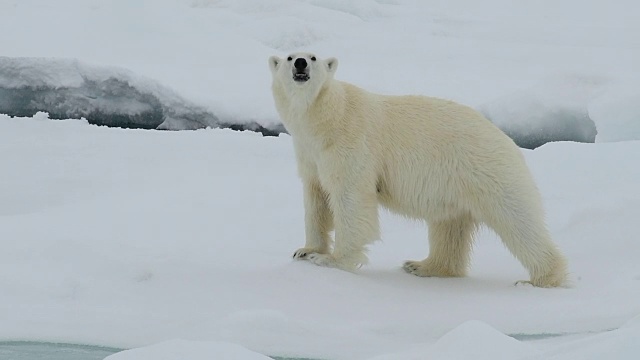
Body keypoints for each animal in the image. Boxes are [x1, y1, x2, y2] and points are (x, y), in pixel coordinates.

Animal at [268, 52, 568, 286]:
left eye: (313, 57)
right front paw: (305, 250)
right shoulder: (310, 153)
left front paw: (331, 260)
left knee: (518, 220)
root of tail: (507, 140)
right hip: (456, 185)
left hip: (489, 172)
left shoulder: (351, 142)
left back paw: (541, 278)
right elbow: (316, 198)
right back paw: (423, 265)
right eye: (289, 56)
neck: (327, 119)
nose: (301, 64)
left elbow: (351, 198)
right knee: (449, 227)